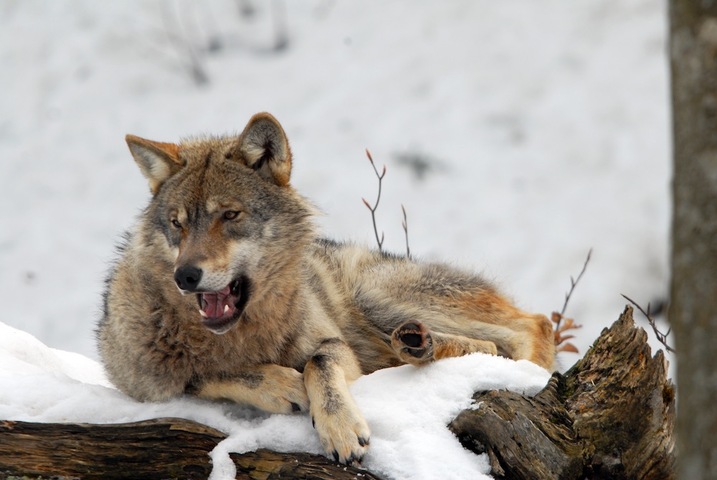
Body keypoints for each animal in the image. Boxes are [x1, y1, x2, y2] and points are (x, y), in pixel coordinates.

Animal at [97, 112, 555, 466]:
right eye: (177, 223)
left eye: (230, 215)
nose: (186, 275)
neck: (243, 337)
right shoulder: (141, 379)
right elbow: (201, 374)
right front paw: (282, 385)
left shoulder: (336, 346)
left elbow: (319, 363)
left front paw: (341, 429)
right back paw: (418, 345)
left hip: (377, 297)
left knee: (534, 325)